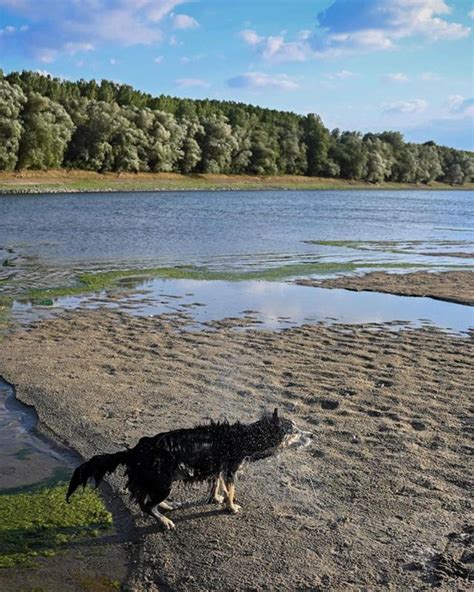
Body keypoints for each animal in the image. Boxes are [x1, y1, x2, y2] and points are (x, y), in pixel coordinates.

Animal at [65, 410, 312, 528]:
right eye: (295, 431)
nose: (313, 435)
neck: (245, 438)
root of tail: (134, 451)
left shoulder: (219, 469)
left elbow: (217, 484)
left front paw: (216, 498)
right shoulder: (230, 470)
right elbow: (231, 491)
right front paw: (231, 507)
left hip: (161, 482)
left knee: (150, 501)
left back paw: (168, 506)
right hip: (163, 482)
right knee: (147, 506)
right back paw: (164, 521)